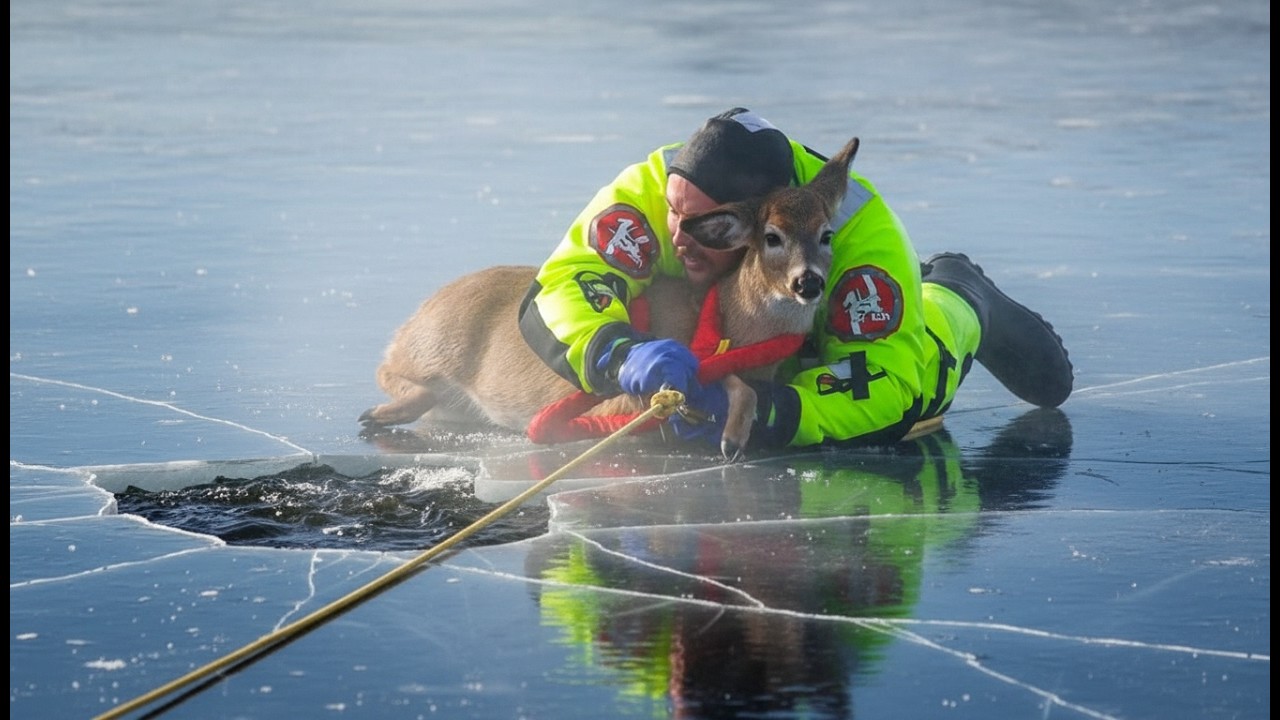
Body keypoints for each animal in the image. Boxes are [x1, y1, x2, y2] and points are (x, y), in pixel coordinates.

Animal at [359, 136, 860, 460]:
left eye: (826, 234)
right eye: (772, 236)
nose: (808, 283)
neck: (724, 324)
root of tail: (420, 309)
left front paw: (731, 434)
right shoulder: (616, 402)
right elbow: (721, 382)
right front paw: (730, 435)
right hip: (432, 348)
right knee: (388, 370)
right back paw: (376, 413)